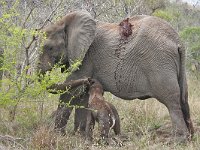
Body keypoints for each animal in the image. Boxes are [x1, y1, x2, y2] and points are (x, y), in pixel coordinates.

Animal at [37, 10, 194, 139]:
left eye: (49, 48)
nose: (89, 80)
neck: (67, 23)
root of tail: (177, 42)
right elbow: (81, 95)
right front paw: (79, 135)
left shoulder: (86, 57)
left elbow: (72, 91)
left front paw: (58, 135)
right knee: (183, 98)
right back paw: (191, 137)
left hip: (159, 64)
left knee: (171, 101)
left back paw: (179, 139)